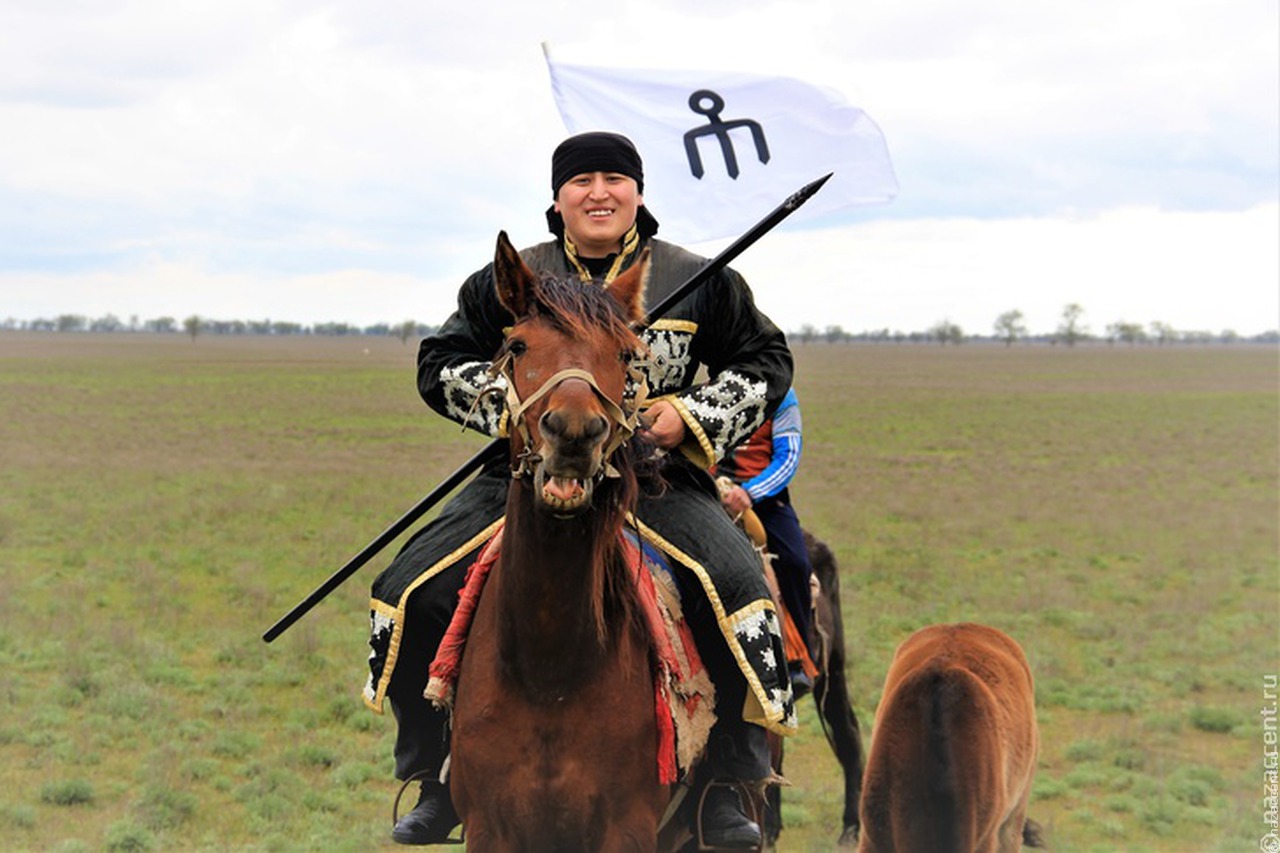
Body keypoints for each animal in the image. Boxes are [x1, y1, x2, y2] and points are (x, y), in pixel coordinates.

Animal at [445, 229, 675, 845]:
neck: (549, 672)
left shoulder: (628, 829)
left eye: (624, 354)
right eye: (519, 346)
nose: (573, 432)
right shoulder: (489, 828)